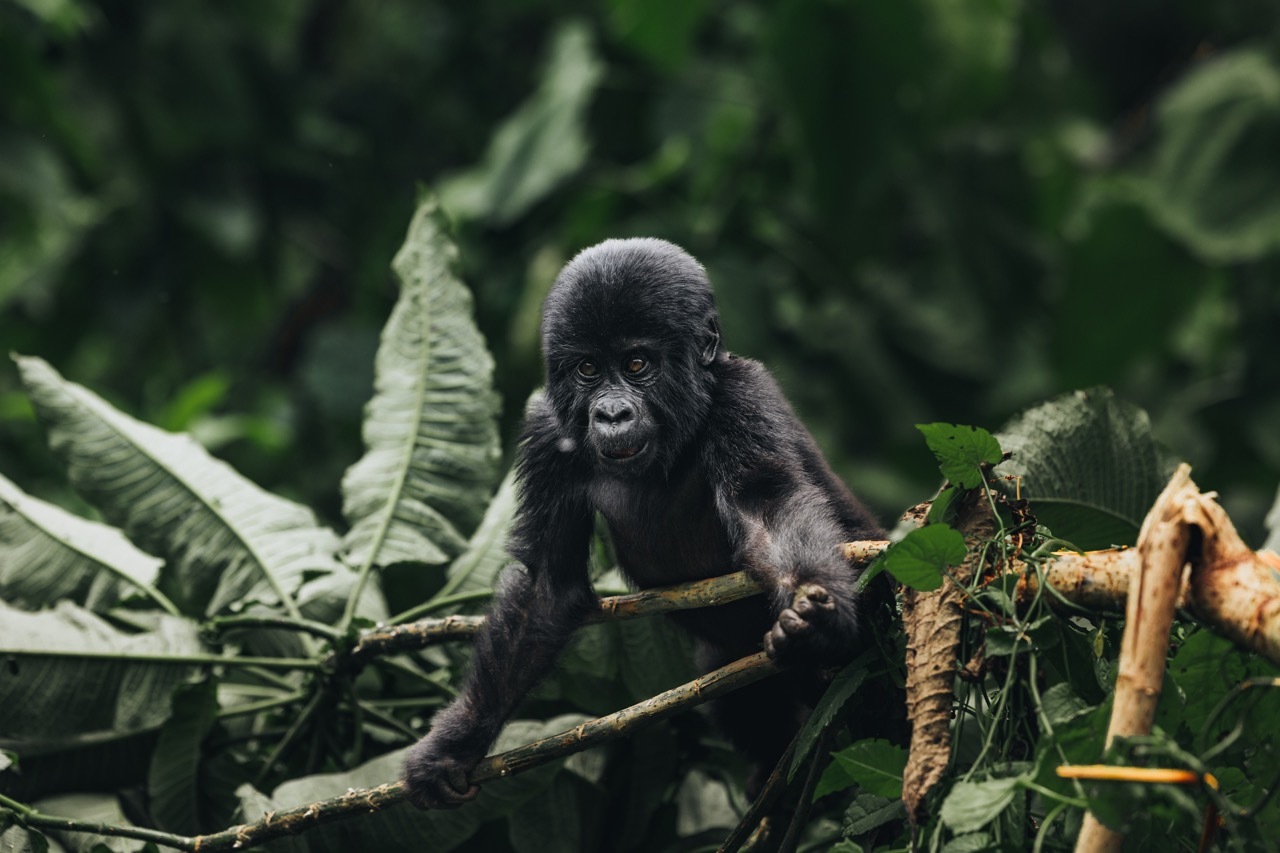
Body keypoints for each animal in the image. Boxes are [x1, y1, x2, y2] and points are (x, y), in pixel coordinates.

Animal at [404, 238, 884, 809]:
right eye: (588, 369)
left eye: (636, 364)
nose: (611, 414)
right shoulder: (546, 430)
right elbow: (548, 586)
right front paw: (455, 744)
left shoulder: (745, 396)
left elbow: (771, 508)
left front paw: (815, 617)